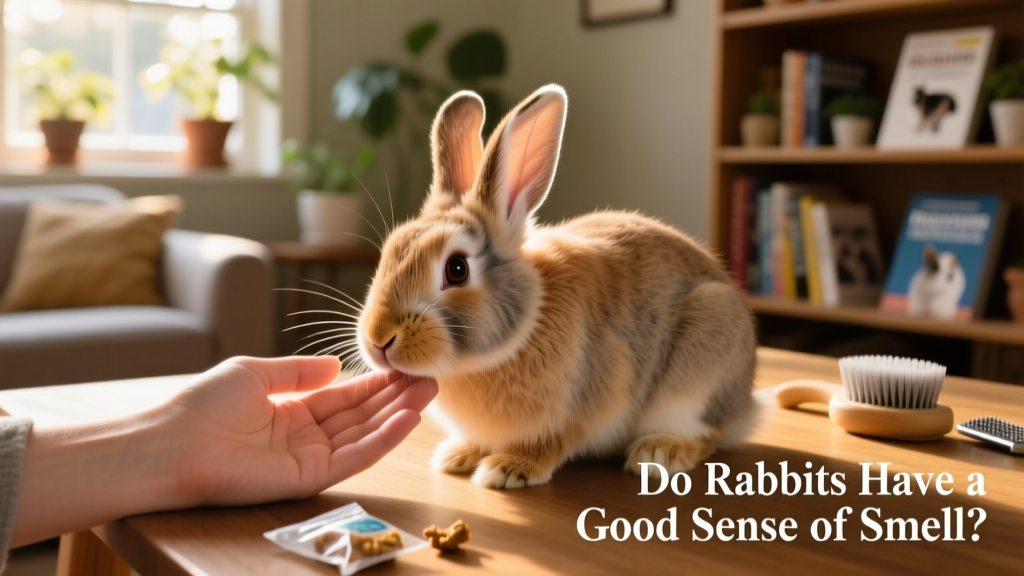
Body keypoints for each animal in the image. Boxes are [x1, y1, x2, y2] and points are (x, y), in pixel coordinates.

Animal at [357, 84, 757, 489]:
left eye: (457, 269)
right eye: (389, 250)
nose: (378, 338)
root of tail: (747, 406)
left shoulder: (587, 401)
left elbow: (553, 441)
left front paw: (507, 470)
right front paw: (456, 456)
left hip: (698, 371)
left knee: (708, 436)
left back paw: (659, 452)